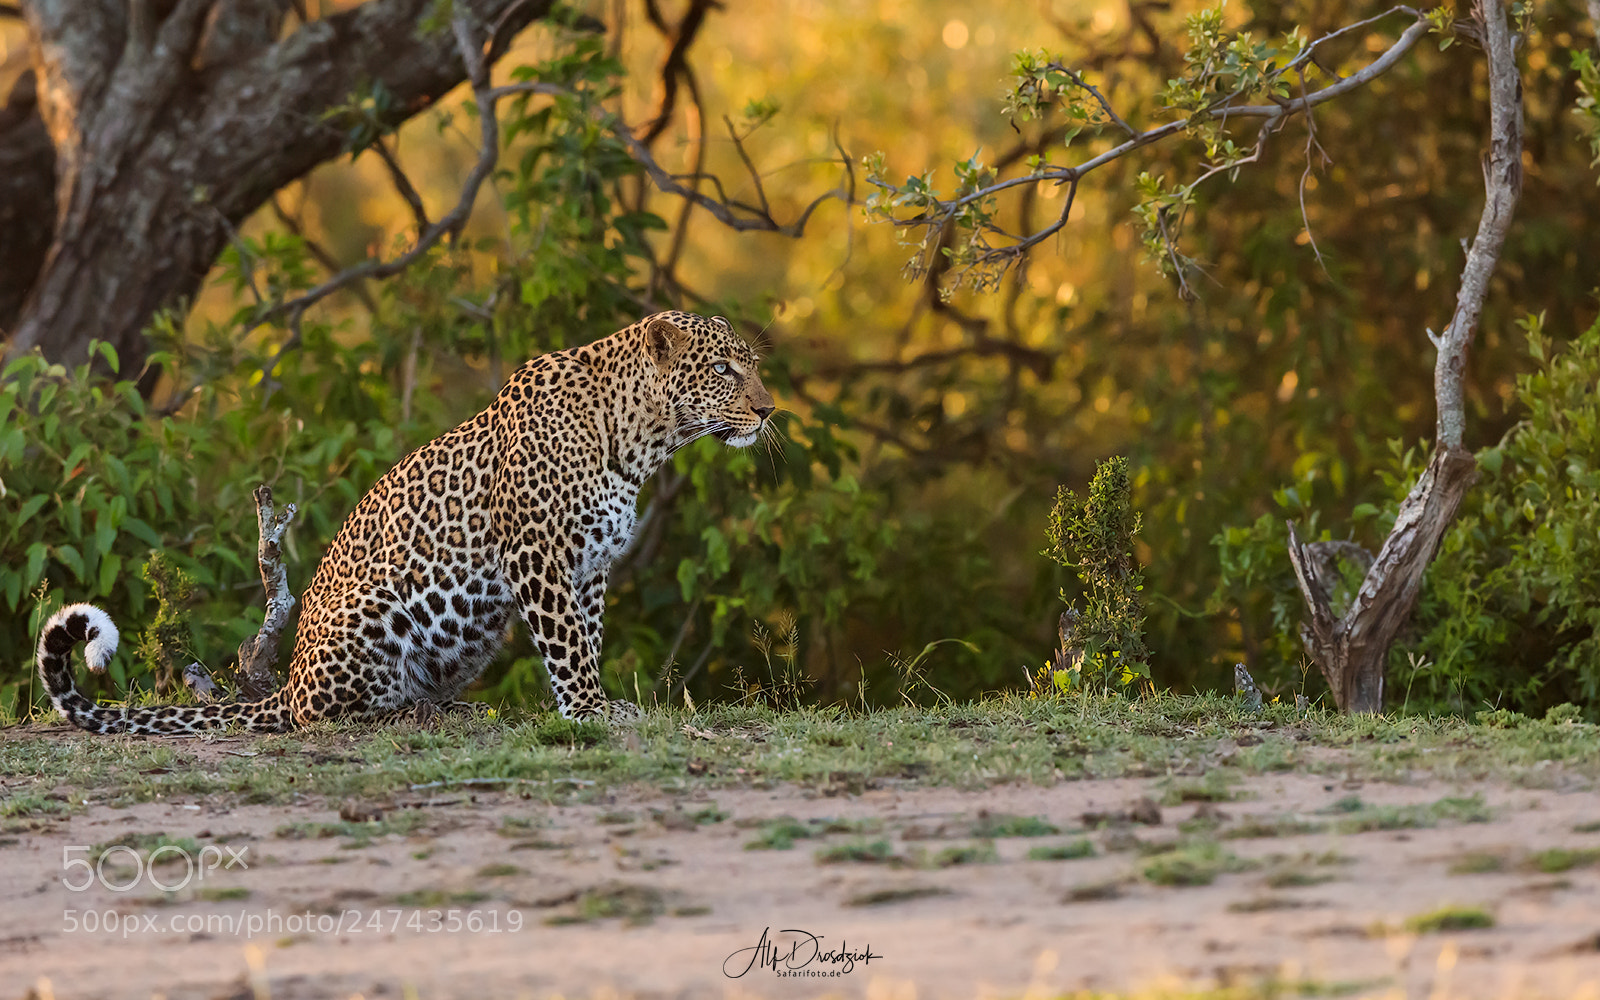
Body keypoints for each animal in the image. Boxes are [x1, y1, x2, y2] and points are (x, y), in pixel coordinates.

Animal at [36, 311, 774, 734]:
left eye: (752, 367)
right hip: (377, 608)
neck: (641, 440)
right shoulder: (538, 554)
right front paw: (591, 713)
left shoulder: (590, 566)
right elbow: (567, 644)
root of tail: (290, 677)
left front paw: (592, 703)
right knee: (319, 715)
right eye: (722, 368)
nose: (769, 410)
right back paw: (412, 710)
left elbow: (584, 639)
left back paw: (452, 706)